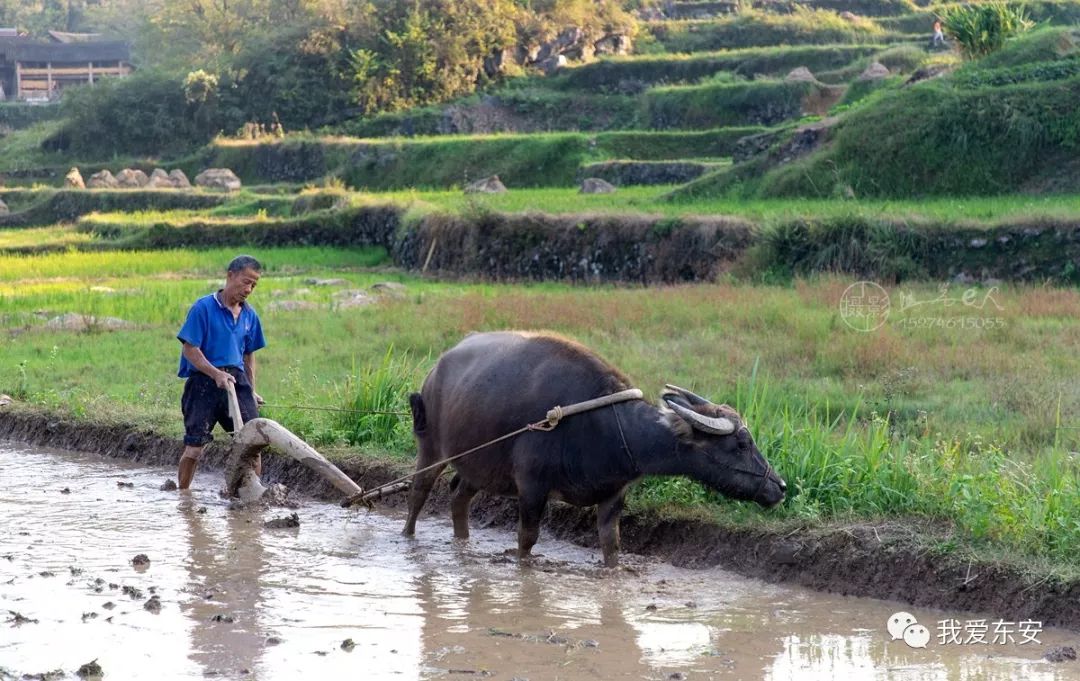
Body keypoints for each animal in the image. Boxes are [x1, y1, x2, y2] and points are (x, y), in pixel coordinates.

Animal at [403, 332, 786, 565]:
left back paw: (462, 543)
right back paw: (408, 537)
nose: (780, 486)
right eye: (741, 443)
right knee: (419, 491)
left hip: (480, 465)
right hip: (431, 448)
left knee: (458, 496)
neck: (609, 430)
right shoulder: (531, 487)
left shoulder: (613, 495)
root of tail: (437, 368)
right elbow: (527, 538)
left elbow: (611, 542)